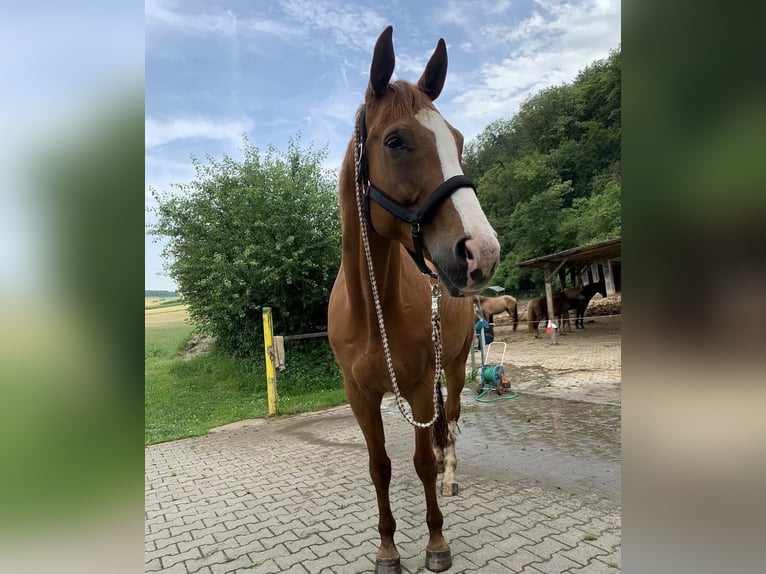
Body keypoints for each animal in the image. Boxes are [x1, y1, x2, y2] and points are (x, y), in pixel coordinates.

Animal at [327, 26, 500, 574]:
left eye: (458, 140)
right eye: (395, 140)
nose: (482, 251)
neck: (372, 310)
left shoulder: (423, 385)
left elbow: (423, 461)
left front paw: (436, 542)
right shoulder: (360, 395)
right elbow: (379, 466)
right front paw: (387, 548)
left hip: (458, 367)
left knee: (453, 423)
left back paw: (451, 476)